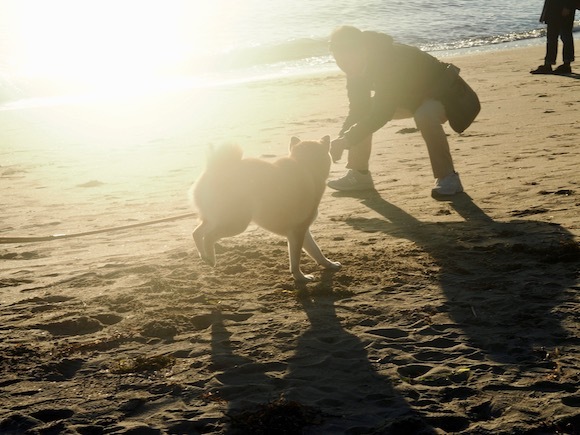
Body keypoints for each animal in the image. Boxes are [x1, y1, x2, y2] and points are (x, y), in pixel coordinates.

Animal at [193, 135, 342, 282]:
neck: (305, 165)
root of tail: (216, 169)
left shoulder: (302, 231)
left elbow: (316, 251)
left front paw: (329, 264)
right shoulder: (298, 232)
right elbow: (296, 260)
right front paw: (301, 277)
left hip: (217, 220)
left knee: (197, 233)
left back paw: (204, 256)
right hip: (237, 223)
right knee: (208, 237)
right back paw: (211, 259)